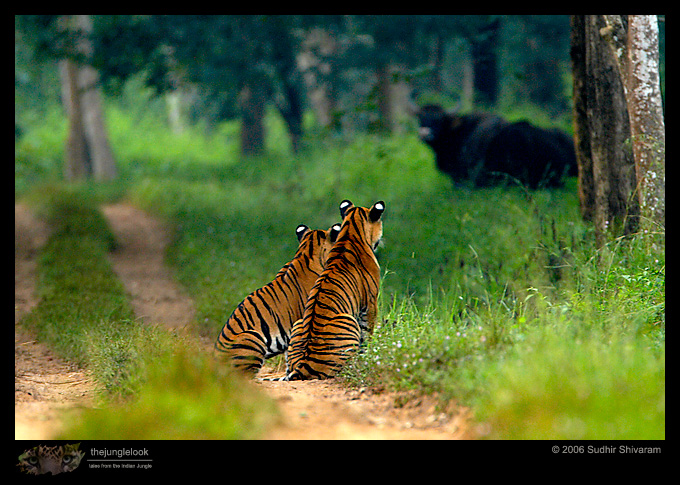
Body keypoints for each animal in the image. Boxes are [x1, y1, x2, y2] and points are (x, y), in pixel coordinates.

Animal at [281, 199, 385, 380]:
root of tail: (302, 366)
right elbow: (367, 333)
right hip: (348, 320)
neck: (350, 233)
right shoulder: (370, 304)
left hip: (298, 323)